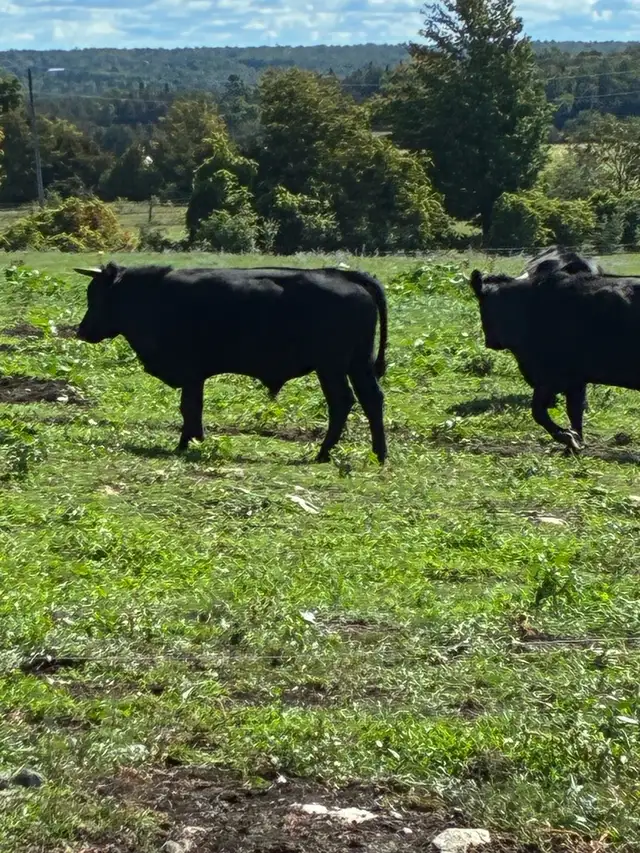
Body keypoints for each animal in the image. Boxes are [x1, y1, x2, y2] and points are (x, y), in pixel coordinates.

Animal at [74, 262, 388, 464]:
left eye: (96, 295)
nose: (81, 330)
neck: (153, 297)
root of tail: (342, 275)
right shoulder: (196, 375)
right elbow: (193, 408)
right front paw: (193, 440)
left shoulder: (190, 372)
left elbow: (189, 407)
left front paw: (185, 443)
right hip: (358, 364)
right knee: (371, 400)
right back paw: (379, 453)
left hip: (331, 367)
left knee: (342, 402)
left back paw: (323, 453)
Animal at [468, 247, 640, 452]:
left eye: (482, 304)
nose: (491, 342)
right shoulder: (575, 379)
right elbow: (574, 413)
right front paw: (574, 444)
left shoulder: (550, 375)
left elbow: (538, 411)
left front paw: (567, 438)